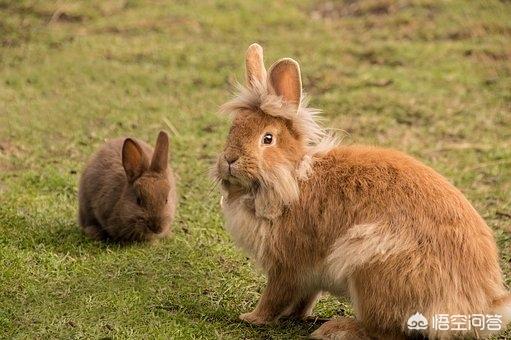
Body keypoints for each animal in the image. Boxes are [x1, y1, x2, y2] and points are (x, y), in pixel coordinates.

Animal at [213, 43, 511, 338]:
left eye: (268, 139)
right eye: (233, 128)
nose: (229, 159)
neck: (294, 177)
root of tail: (478, 306)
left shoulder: (287, 266)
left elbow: (275, 296)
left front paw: (252, 318)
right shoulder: (308, 276)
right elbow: (304, 298)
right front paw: (293, 316)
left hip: (369, 265)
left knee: (383, 331)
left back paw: (337, 329)